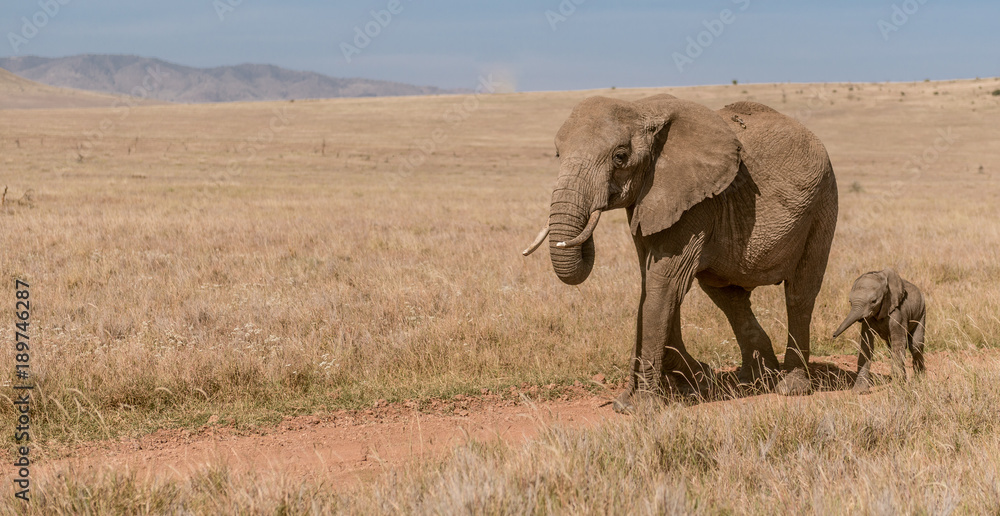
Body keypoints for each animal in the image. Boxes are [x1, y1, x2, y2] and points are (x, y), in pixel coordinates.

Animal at [522, 94, 839, 411]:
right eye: (558, 155)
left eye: (620, 157)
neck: (642, 109)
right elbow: (651, 287)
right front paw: (682, 385)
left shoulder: (695, 202)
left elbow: (664, 285)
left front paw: (643, 406)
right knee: (729, 298)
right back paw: (756, 379)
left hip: (822, 203)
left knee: (800, 294)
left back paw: (790, 386)